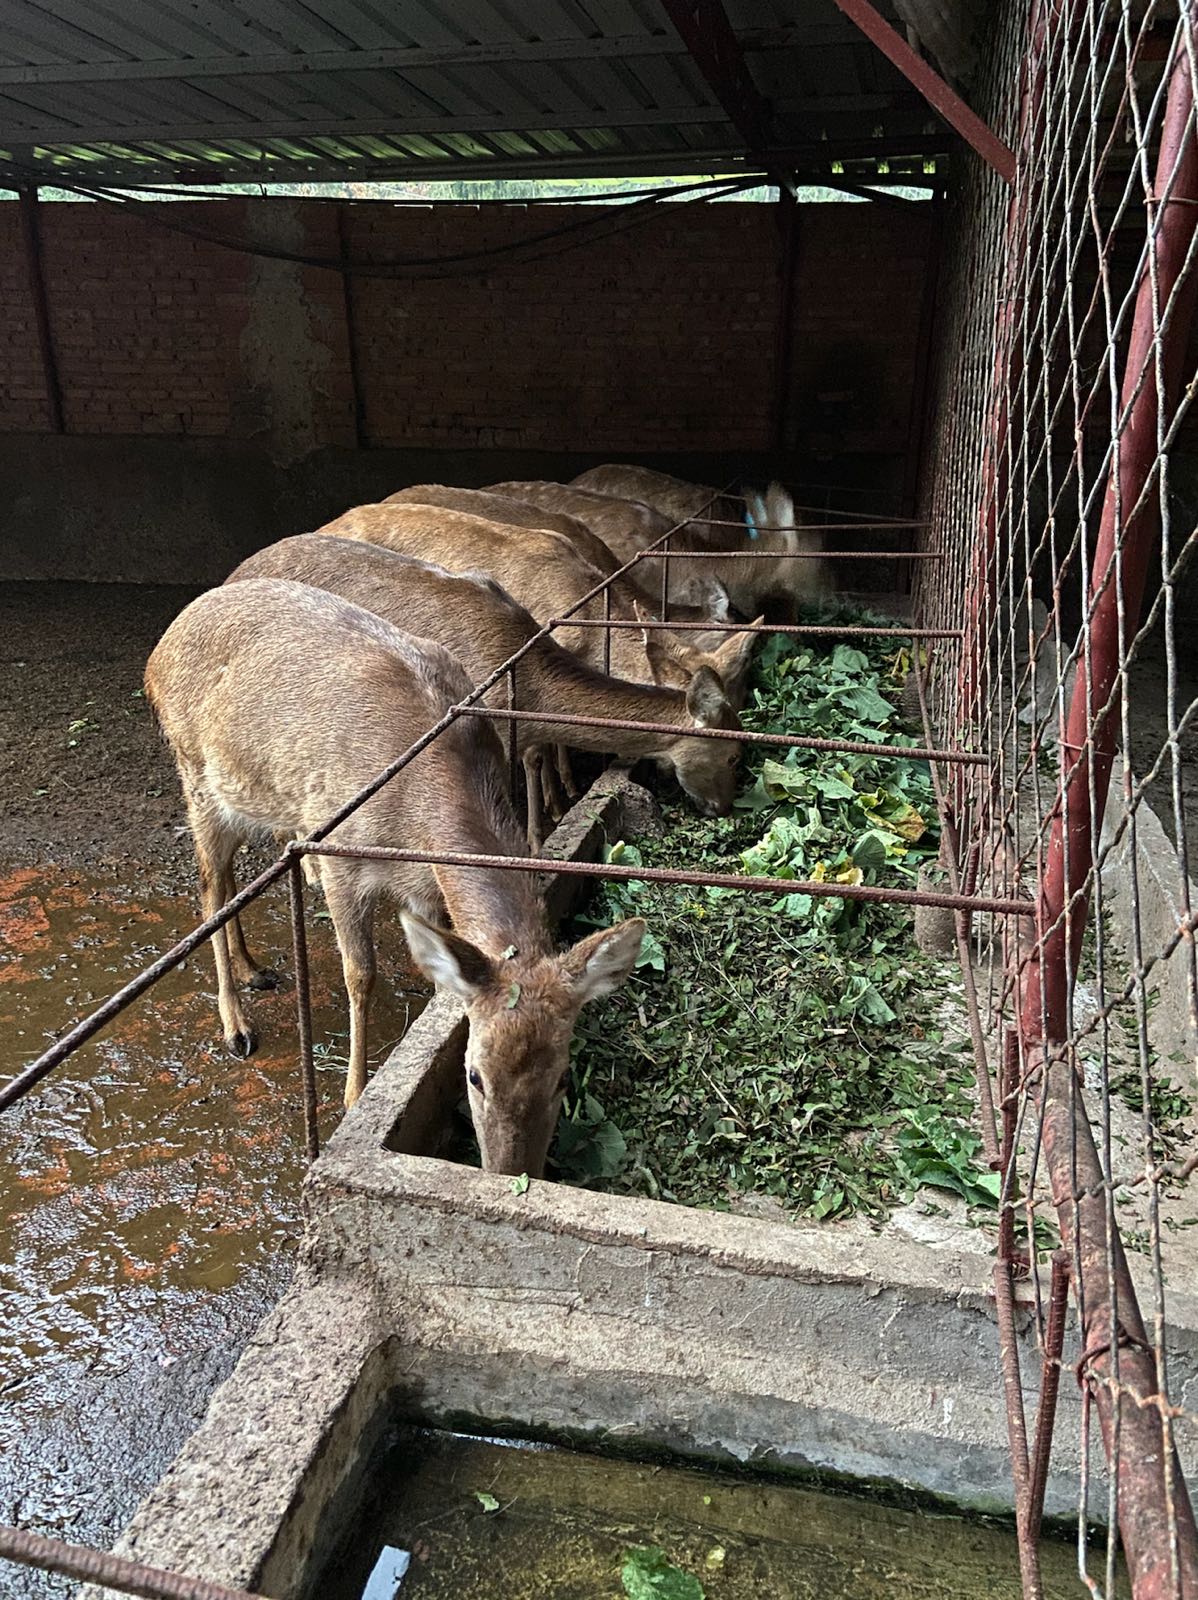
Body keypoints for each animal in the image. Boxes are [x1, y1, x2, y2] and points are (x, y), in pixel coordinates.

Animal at [144, 579, 646, 1177]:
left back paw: (255, 969)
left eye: (563, 1076)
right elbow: (361, 974)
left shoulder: (423, 885)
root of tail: (157, 652)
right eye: (475, 1076)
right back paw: (236, 1025)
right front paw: (355, 1094)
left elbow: (434, 975)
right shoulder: (339, 855)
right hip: (197, 777)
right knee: (210, 888)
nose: (511, 1172)